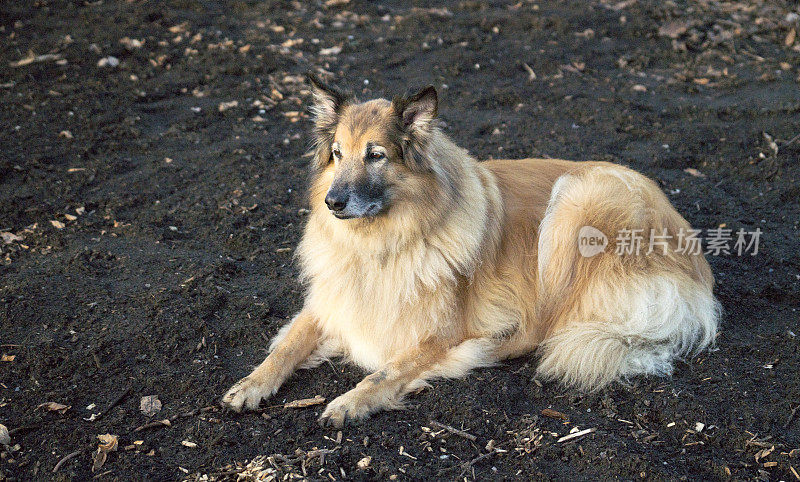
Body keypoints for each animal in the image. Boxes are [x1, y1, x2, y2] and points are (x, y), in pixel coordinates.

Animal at [222, 73, 720, 428]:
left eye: (376, 155)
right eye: (338, 154)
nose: (332, 202)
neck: (384, 242)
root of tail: (692, 254)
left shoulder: (439, 332)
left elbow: (384, 371)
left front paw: (350, 402)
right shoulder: (331, 301)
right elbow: (287, 345)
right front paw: (251, 383)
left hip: (576, 202)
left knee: (544, 326)